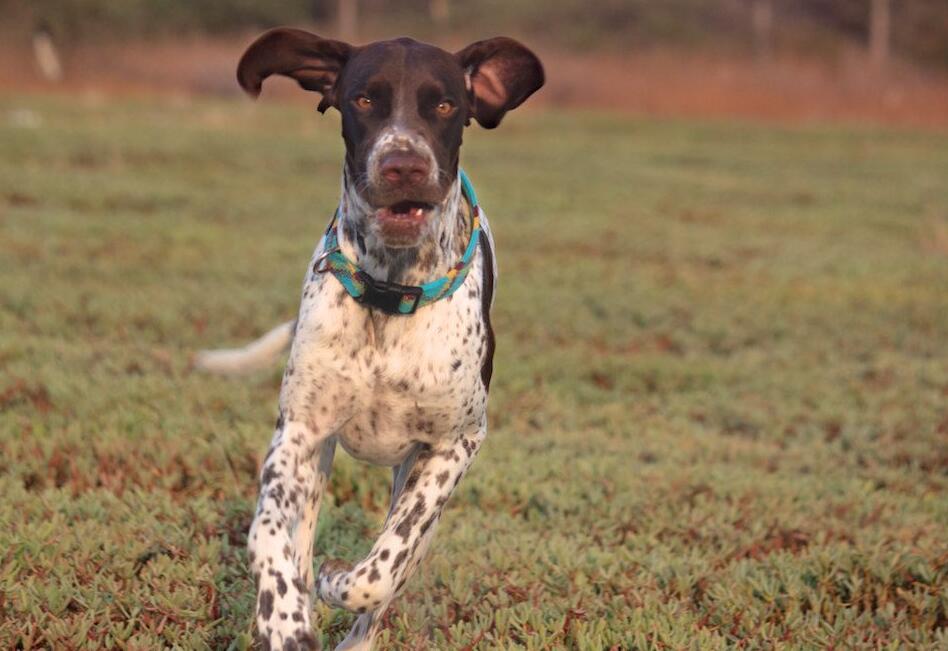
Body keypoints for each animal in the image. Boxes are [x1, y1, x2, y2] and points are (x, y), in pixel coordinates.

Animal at [197, 28, 543, 650]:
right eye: (363, 100)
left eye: (444, 105)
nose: (403, 165)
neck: (389, 290)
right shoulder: (299, 432)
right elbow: (267, 533)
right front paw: (284, 614)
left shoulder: (455, 446)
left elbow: (382, 568)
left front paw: (337, 582)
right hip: (320, 459)